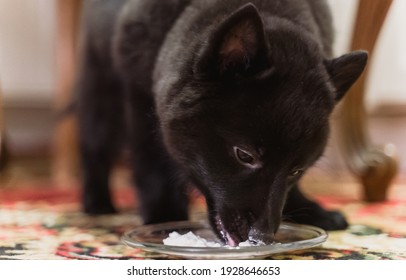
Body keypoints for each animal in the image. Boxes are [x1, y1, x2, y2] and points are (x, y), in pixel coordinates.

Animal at [75, 0, 364, 245]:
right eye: (244, 155)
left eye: (296, 170)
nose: (261, 238)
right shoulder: (140, 97)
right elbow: (154, 167)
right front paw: (165, 218)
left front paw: (310, 210)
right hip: (103, 91)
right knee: (95, 148)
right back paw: (97, 202)